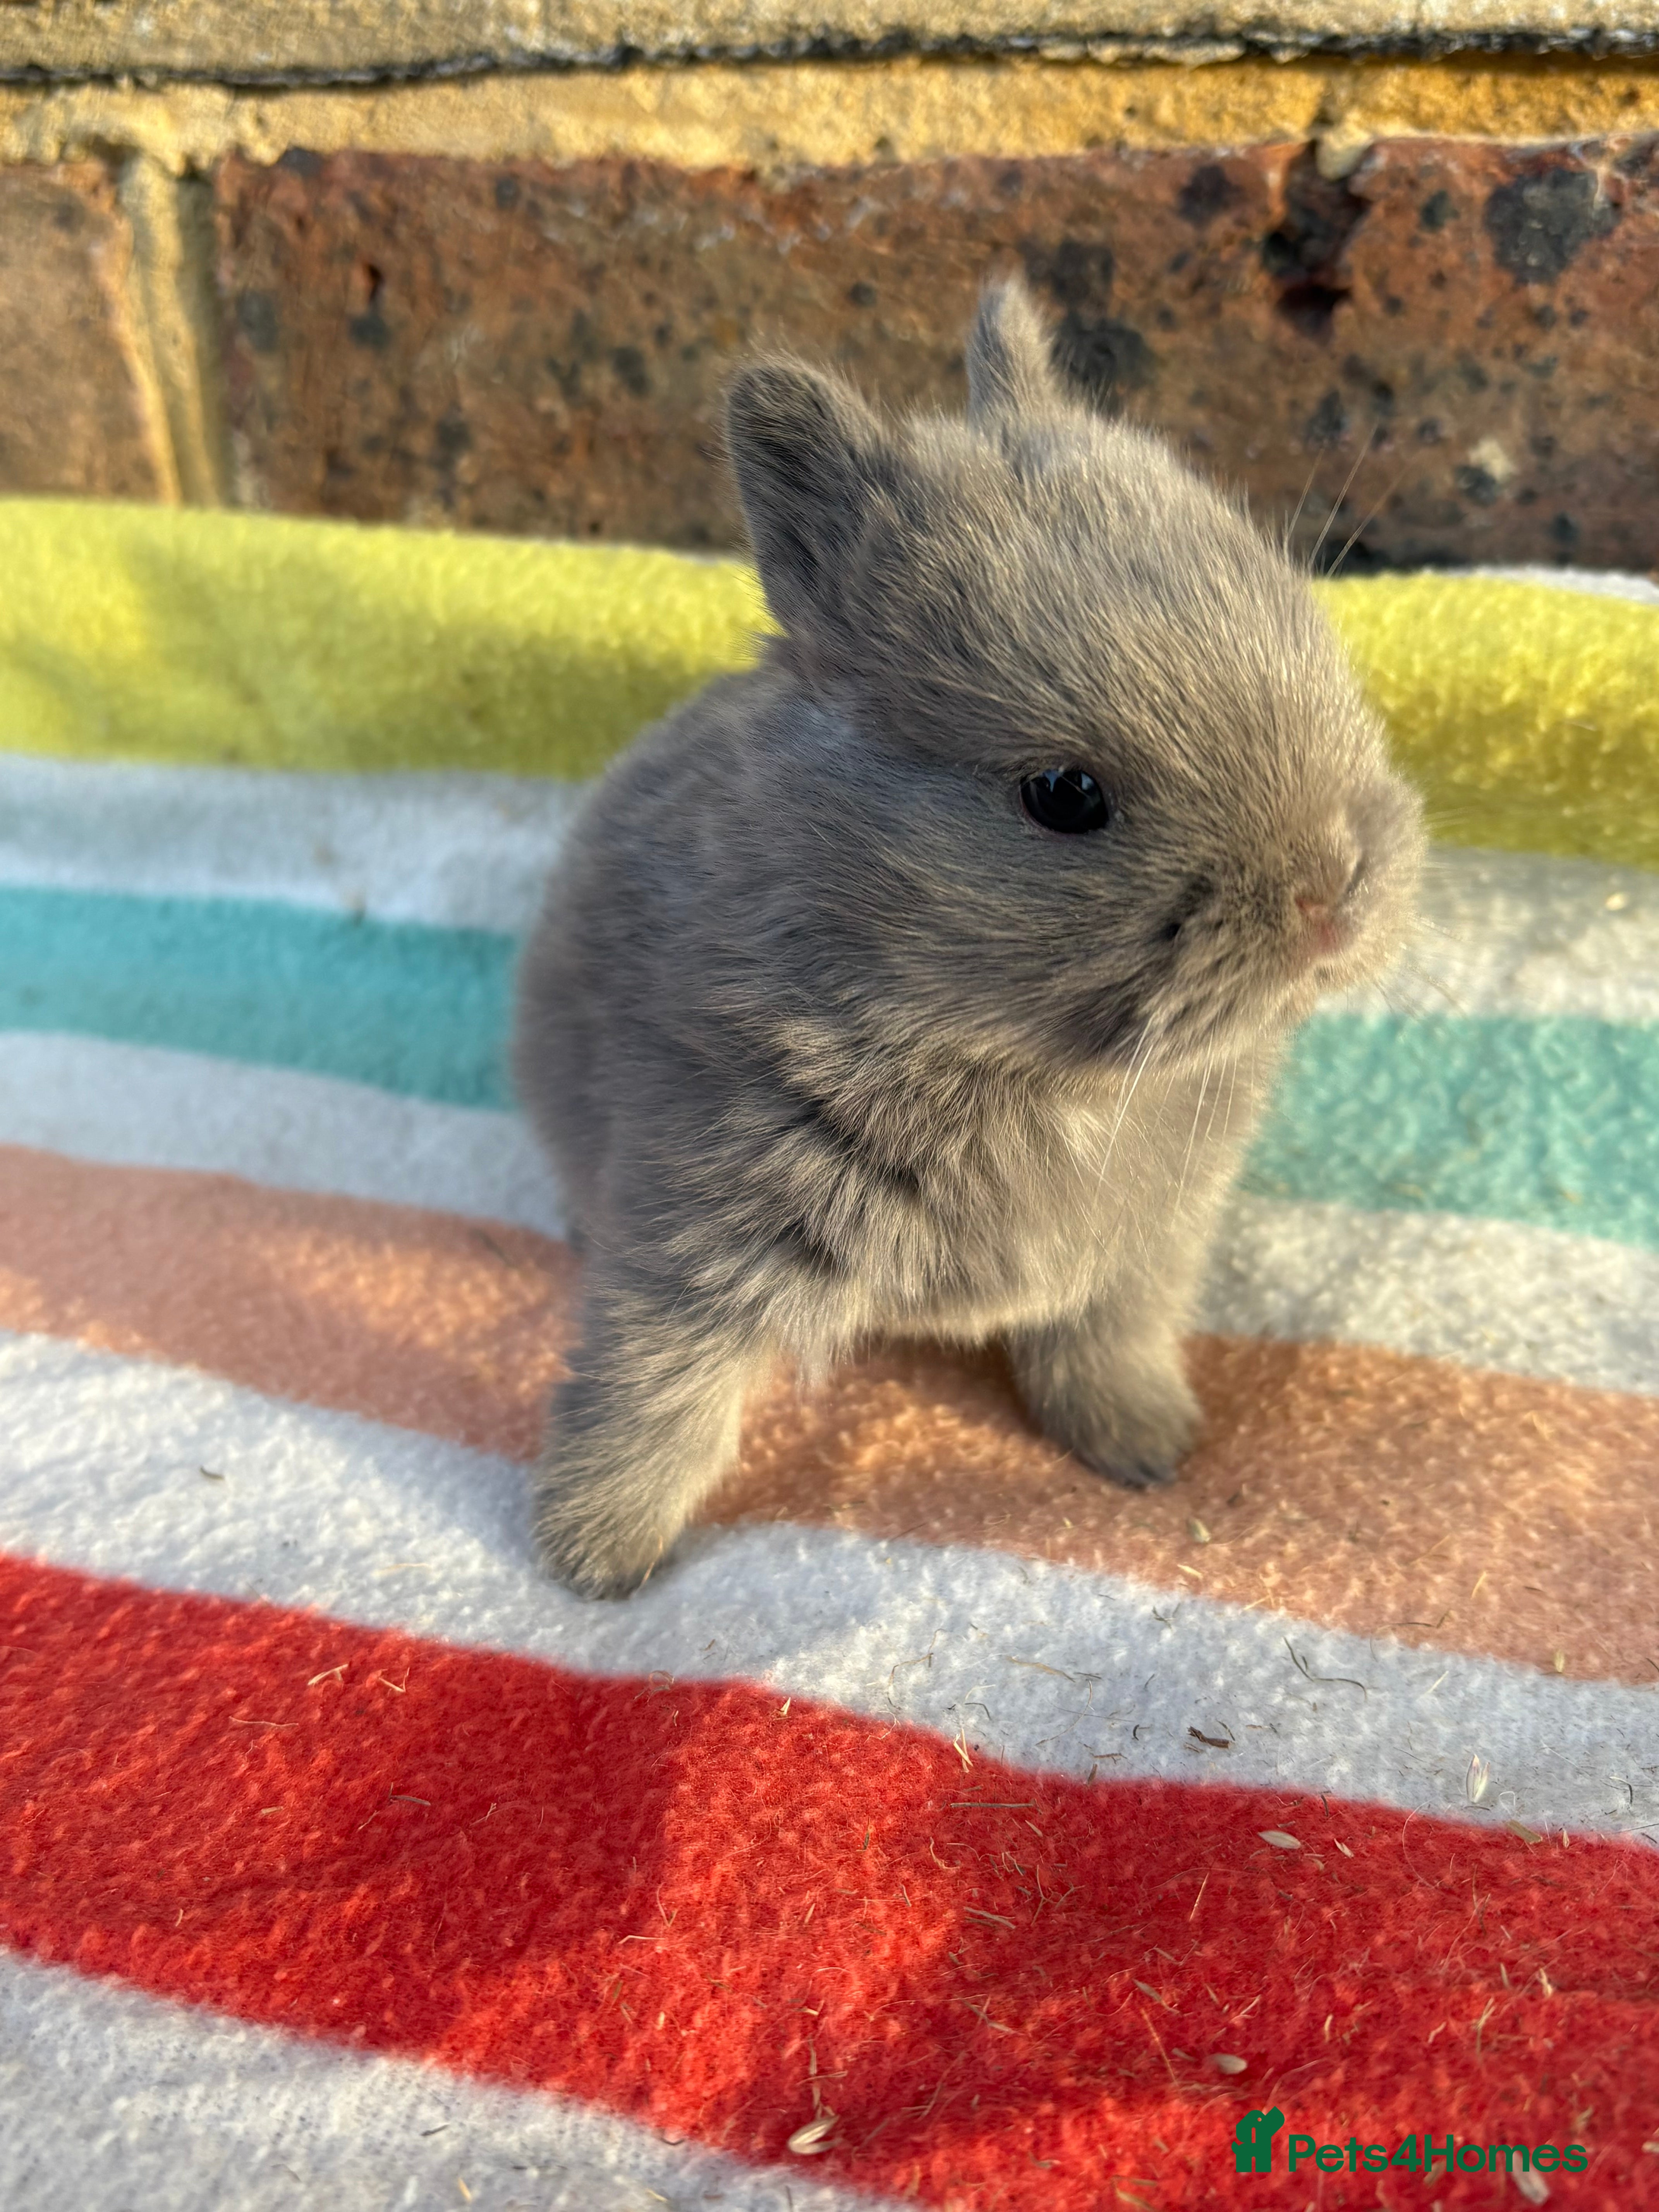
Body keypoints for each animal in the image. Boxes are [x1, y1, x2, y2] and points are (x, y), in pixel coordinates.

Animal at [512, 277, 1424, 1600]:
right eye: (1063, 794)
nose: (1332, 898)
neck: (1020, 1070)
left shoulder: (1142, 1259)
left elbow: (1109, 1346)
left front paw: (1147, 1449)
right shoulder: (697, 1237)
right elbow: (653, 1392)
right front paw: (595, 1558)